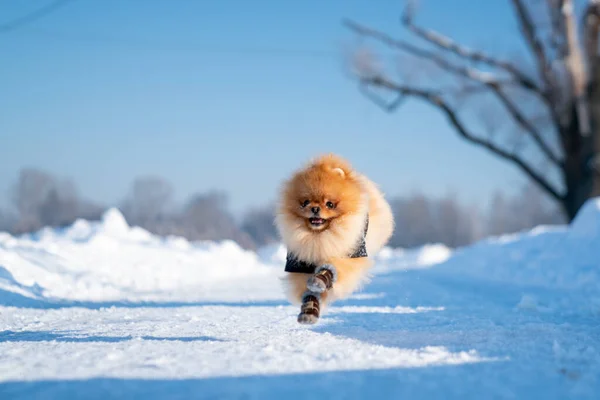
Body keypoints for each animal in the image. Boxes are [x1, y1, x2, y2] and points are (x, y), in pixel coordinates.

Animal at [276, 153, 396, 324]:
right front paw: (309, 310)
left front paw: (320, 279)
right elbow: (309, 293)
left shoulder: (350, 256)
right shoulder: (300, 265)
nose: (315, 208)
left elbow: (331, 267)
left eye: (330, 204)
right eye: (305, 202)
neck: (319, 237)